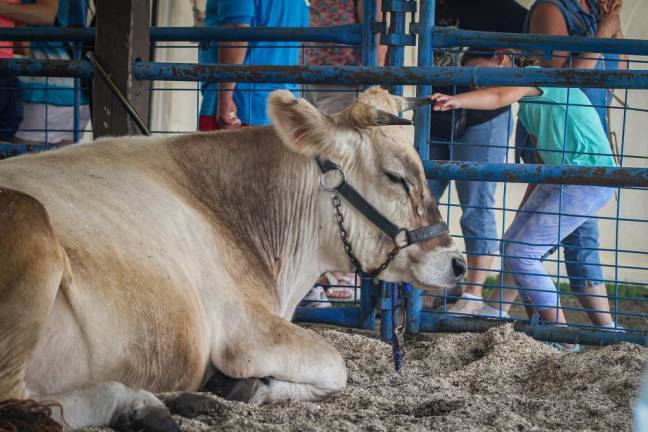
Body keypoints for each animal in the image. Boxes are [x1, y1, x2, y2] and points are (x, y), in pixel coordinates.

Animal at [0, 87, 466, 428]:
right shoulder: (244, 329)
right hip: (29, 230)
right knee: (20, 402)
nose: (457, 262)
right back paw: (137, 404)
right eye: (395, 176)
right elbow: (336, 367)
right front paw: (249, 386)